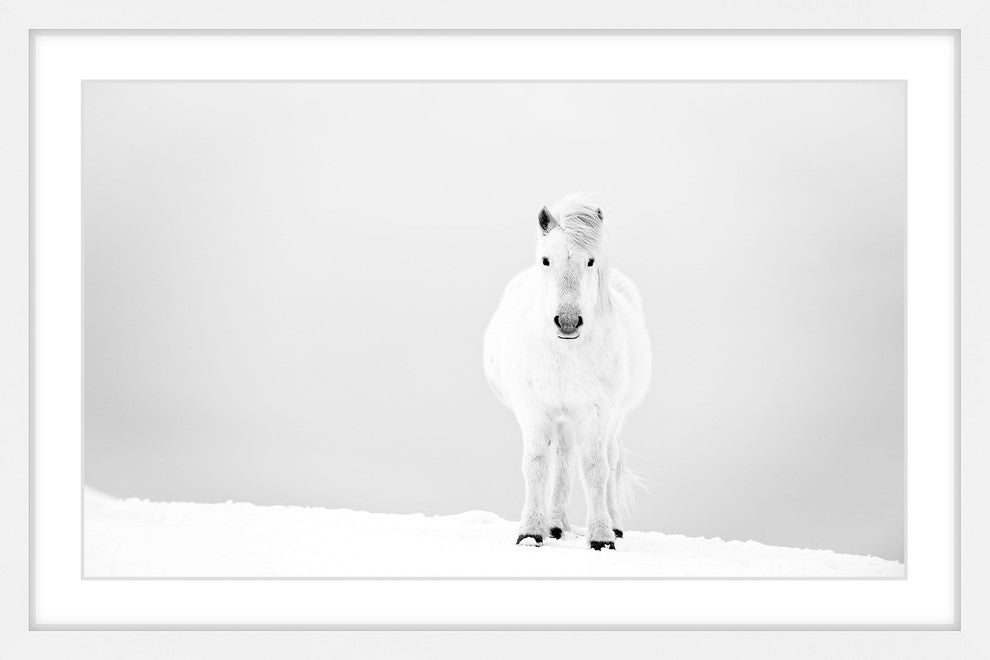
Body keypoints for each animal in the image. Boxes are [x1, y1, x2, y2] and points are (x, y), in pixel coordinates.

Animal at [483, 195, 652, 550]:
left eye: (590, 261)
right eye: (546, 260)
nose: (568, 322)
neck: (564, 354)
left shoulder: (597, 411)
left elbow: (596, 467)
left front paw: (601, 536)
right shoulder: (534, 408)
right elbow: (536, 463)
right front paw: (531, 532)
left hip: (612, 418)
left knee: (609, 458)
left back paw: (613, 525)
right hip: (560, 418)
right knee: (560, 459)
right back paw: (555, 524)